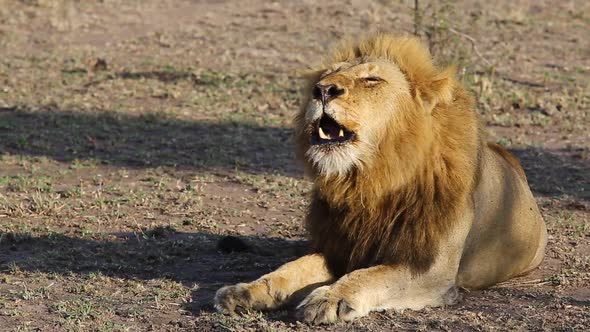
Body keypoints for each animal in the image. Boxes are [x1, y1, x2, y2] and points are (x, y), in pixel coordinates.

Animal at [214, 33, 552, 324]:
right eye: (328, 75)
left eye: (371, 80)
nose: (321, 90)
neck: (373, 177)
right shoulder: (340, 248)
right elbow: (290, 269)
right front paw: (245, 291)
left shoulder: (431, 268)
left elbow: (371, 275)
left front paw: (329, 298)